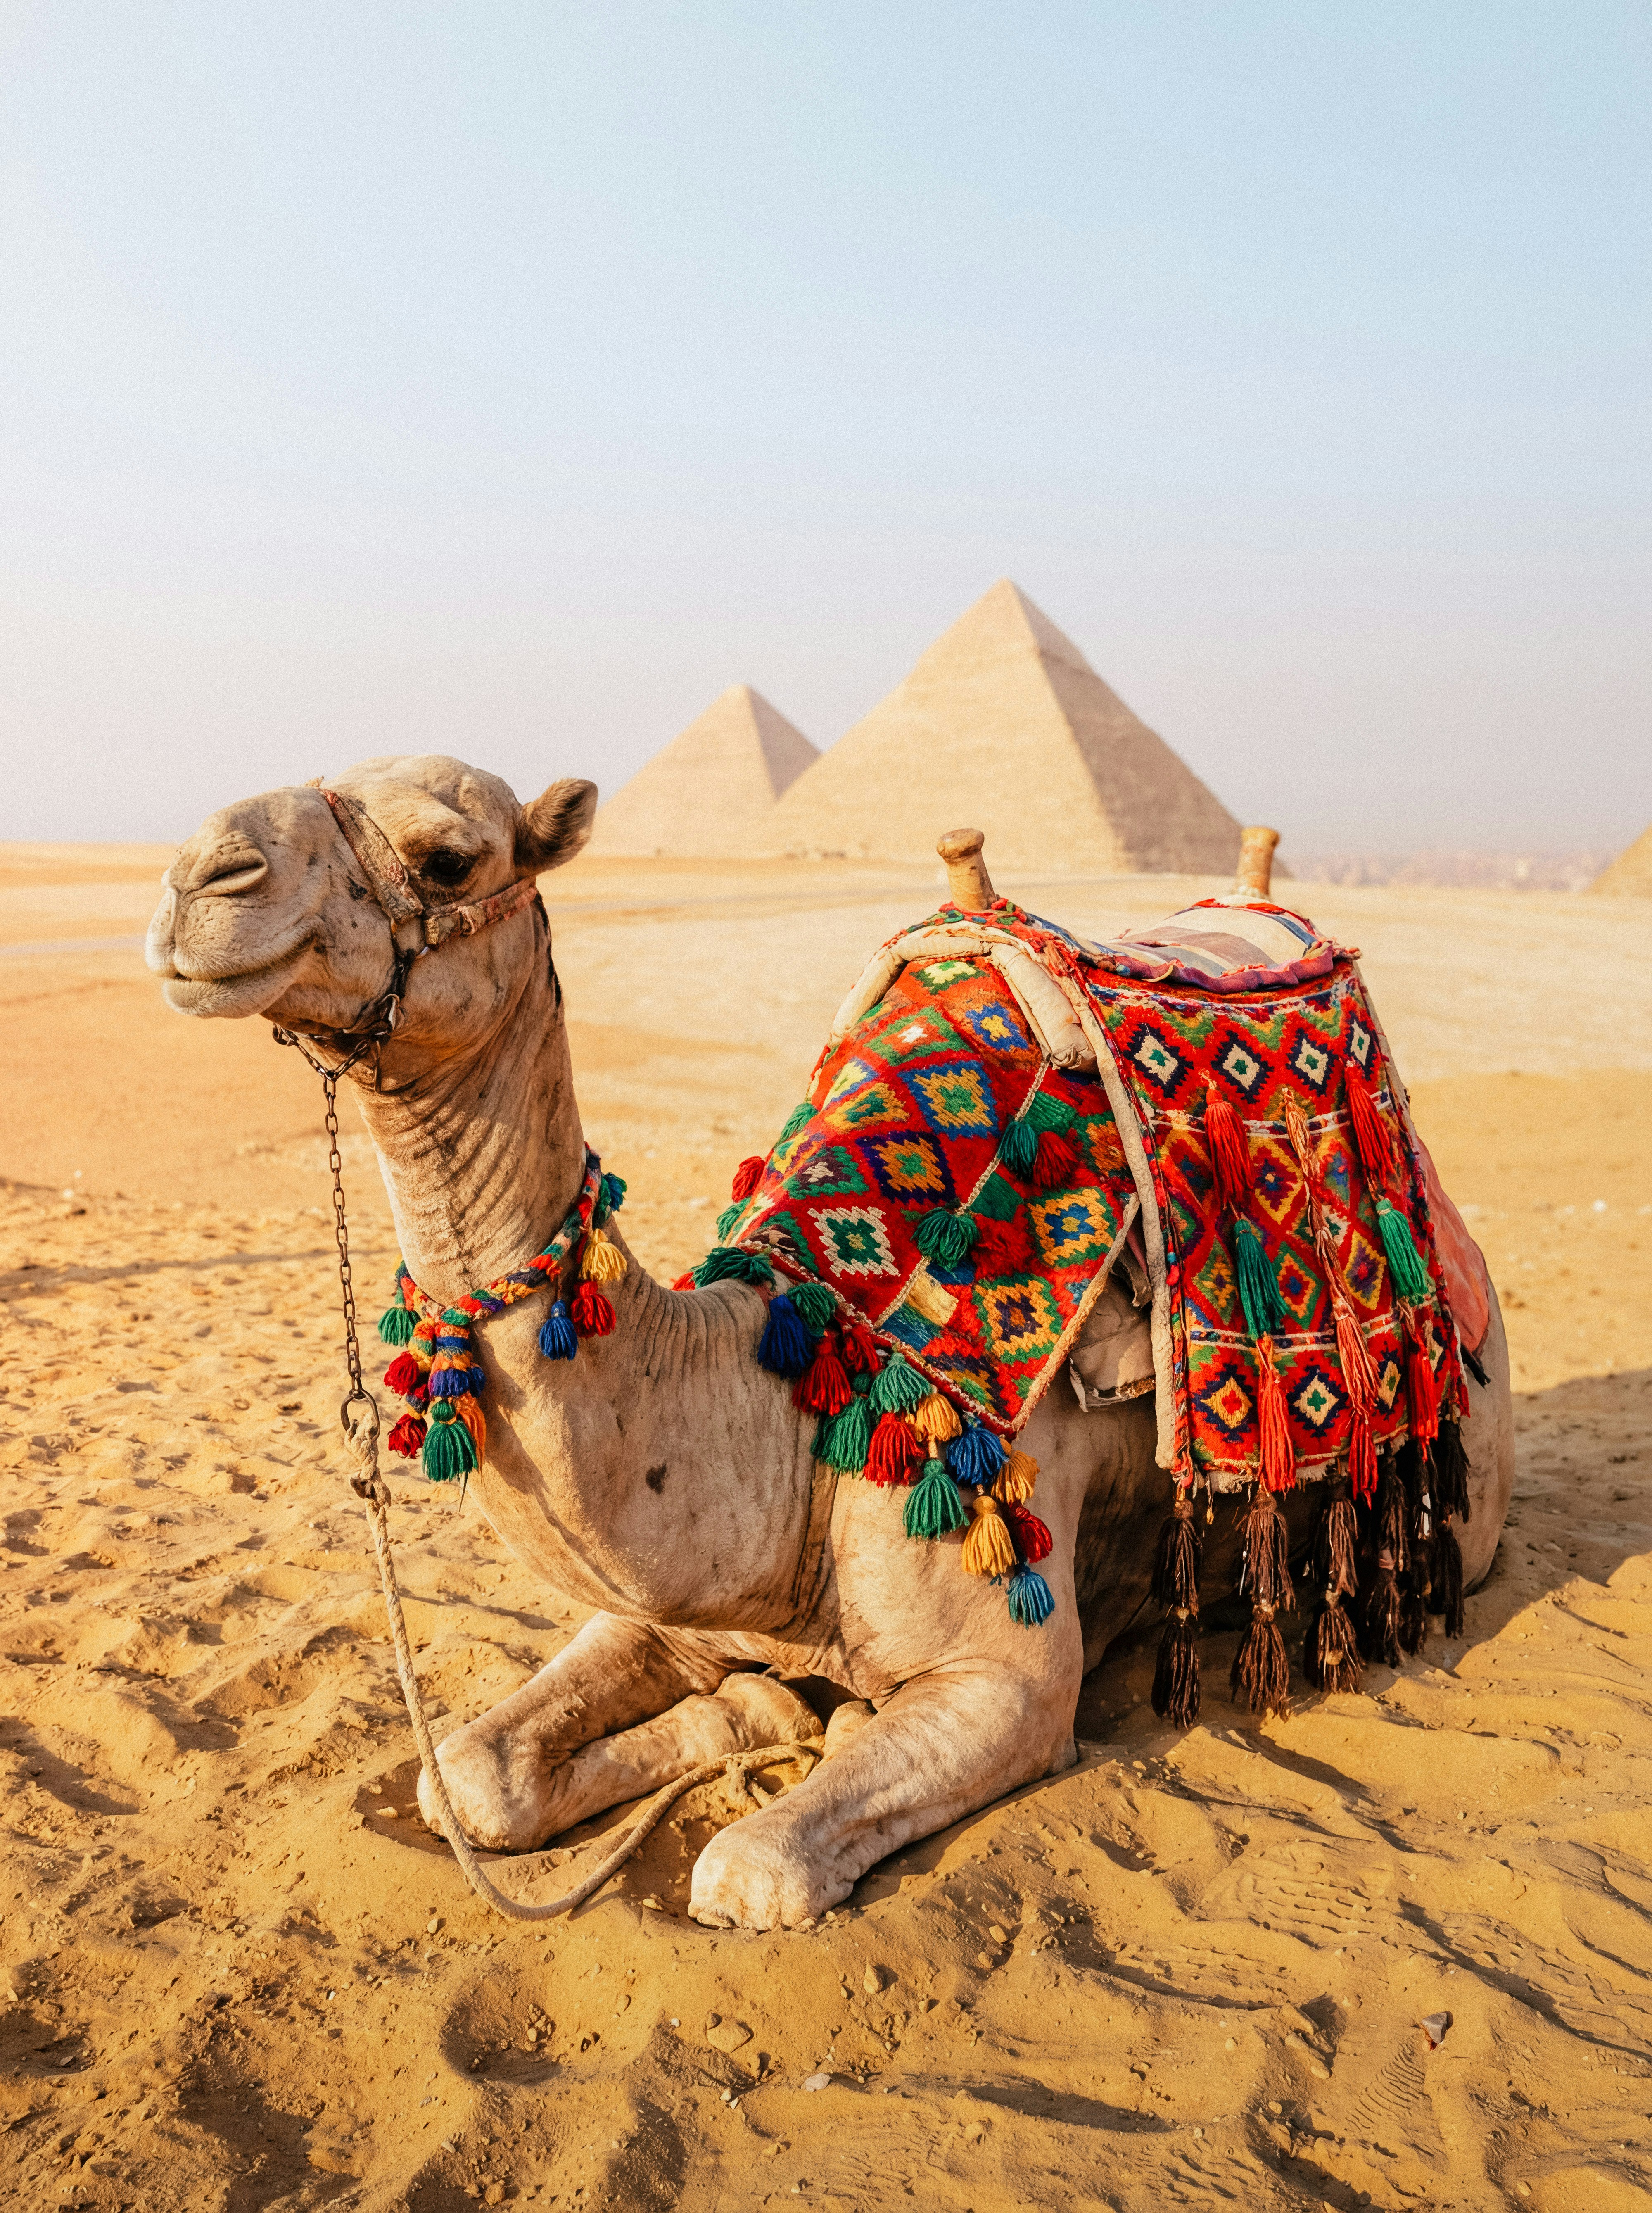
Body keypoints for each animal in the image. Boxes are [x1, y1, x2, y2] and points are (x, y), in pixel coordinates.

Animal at [146, 754, 1515, 1929]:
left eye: (447, 856)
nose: (198, 876)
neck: (794, 1393)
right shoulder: (683, 1598)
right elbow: (467, 1776)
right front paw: (751, 1712)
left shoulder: (1010, 1676)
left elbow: (749, 1869)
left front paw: (805, 1734)